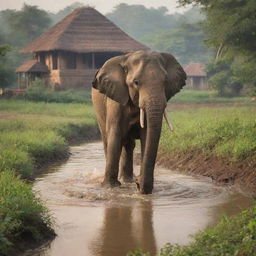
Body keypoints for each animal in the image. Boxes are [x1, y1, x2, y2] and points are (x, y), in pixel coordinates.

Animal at [92, 50, 186, 194]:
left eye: (165, 81)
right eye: (136, 82)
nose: (138, 184)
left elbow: (146, 135)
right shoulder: (115, 100)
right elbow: (115, 135)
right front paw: (110, 188)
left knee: (129, 145)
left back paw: (128, 180)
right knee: (109, 140)